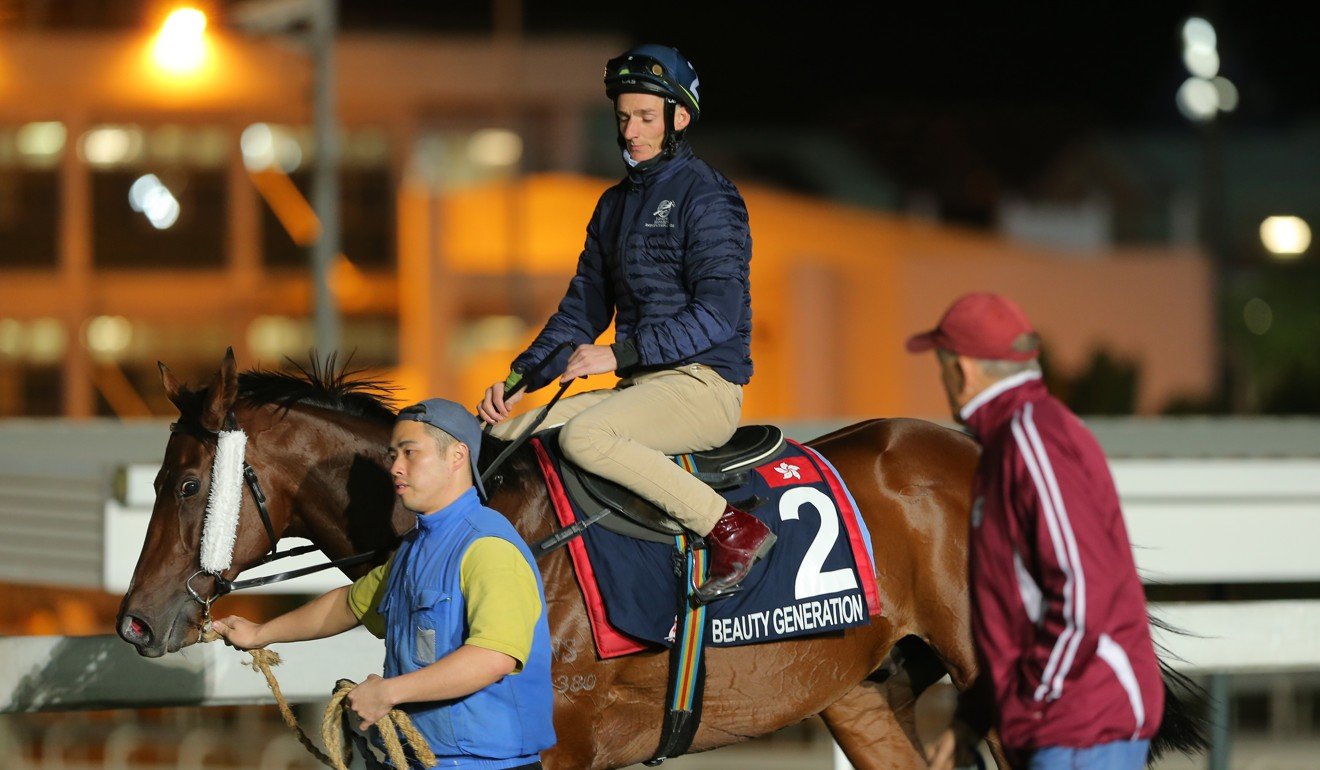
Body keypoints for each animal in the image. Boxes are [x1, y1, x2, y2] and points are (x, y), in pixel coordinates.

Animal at [118, 351, 1203, 770]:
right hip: (860, 689)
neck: (494, 516)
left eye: (189, 484)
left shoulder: (560, 746)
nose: (135, 620)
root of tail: (980, 451)